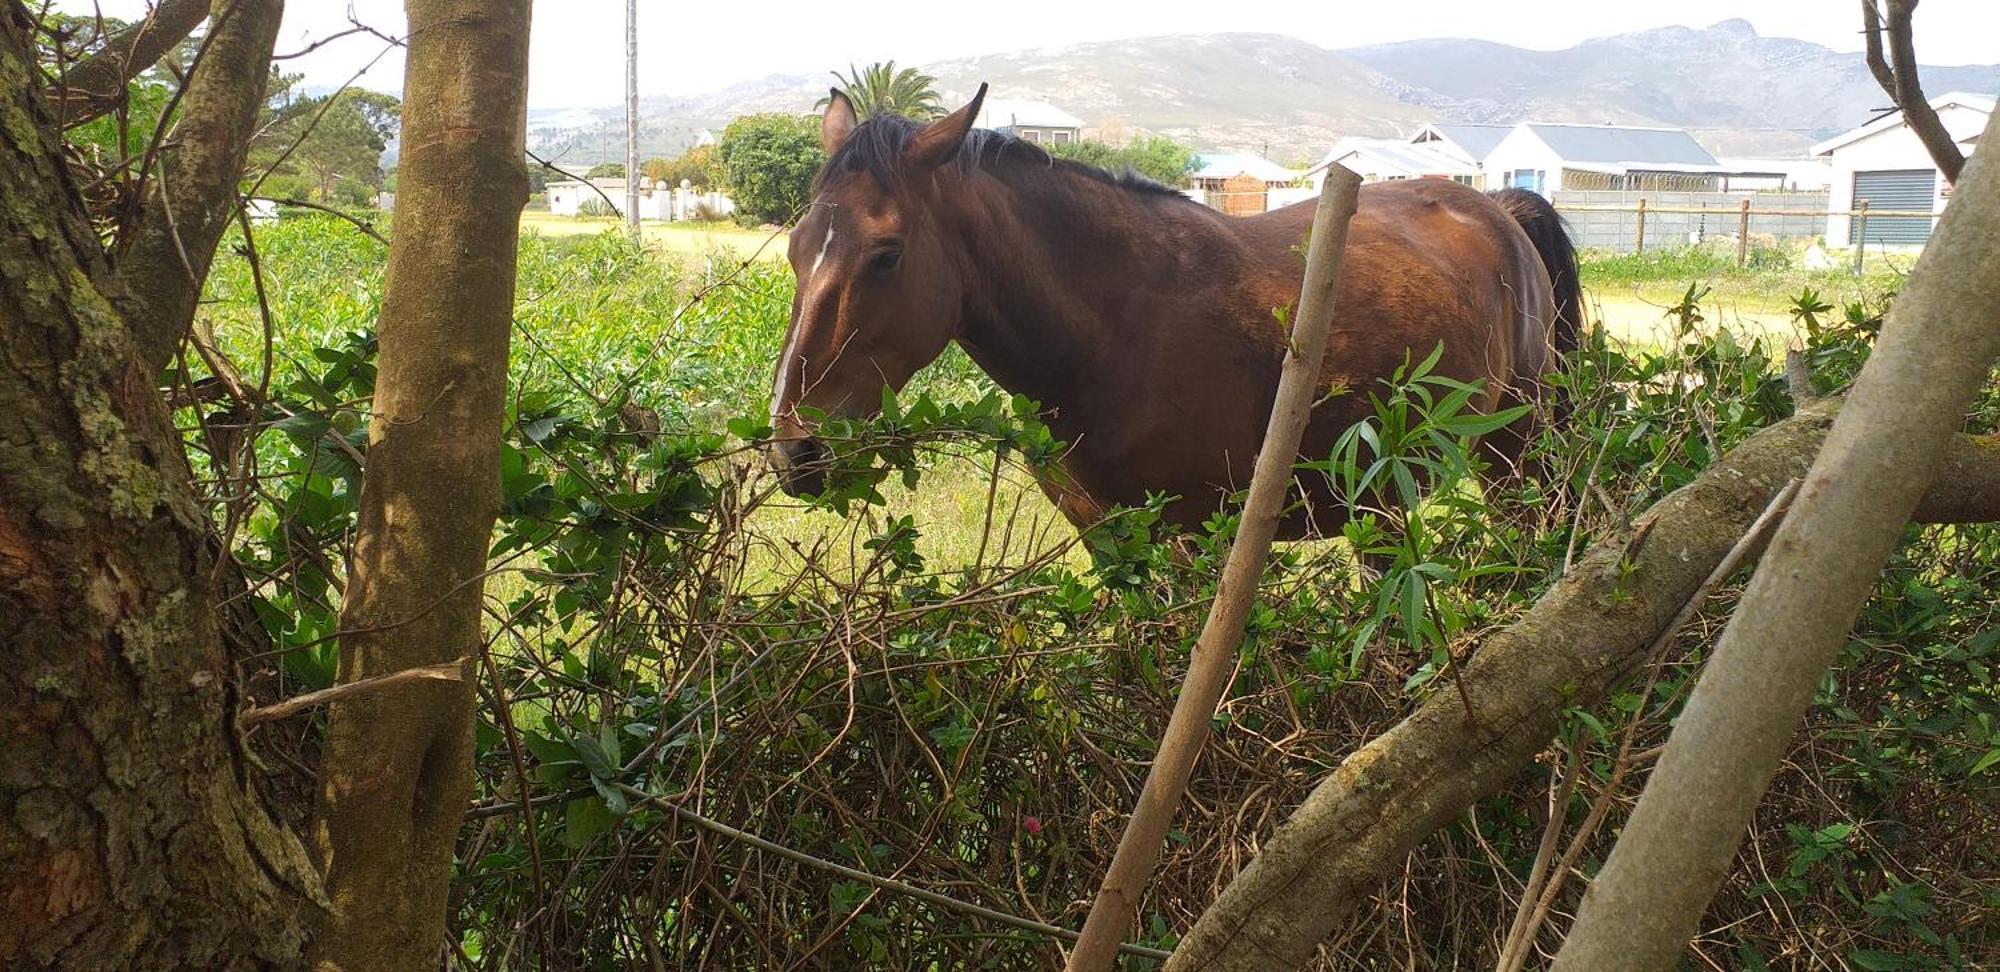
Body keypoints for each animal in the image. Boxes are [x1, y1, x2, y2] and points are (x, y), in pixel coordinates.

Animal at [764, 83, 1576, 540]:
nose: (795, 450)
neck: (1114, 331)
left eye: (887, 255)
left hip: (1516, 458)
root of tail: (1494, 208)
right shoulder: (1111, 544)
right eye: (797, 248)